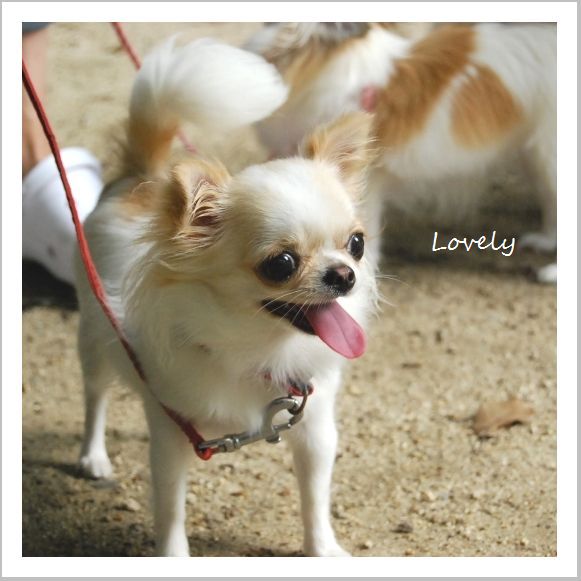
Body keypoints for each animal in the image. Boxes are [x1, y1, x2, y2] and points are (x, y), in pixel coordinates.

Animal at [74, 36, 377, 557]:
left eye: (356, 243)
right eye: (281, 264)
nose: (344, 274)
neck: (257, 348)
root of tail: (138, 178)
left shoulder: (314, 429)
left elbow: (314, 497)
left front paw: (321, 548)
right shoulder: (174, 440)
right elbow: (170, 509)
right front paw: (174, 556)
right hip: (93, 340)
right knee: (95, 398)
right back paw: (93, 455)